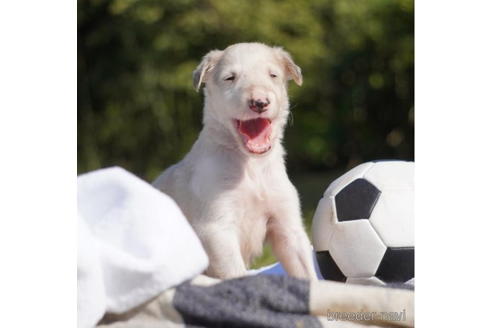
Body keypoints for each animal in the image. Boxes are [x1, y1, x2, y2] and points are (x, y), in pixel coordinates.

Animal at [153, 43, 316, 280]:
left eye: (273, 75)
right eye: (230, 78)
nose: (259, 103)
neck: (251, 166)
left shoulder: (287, 225)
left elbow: (307, 273)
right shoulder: (217, 230)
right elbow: (236, 274)